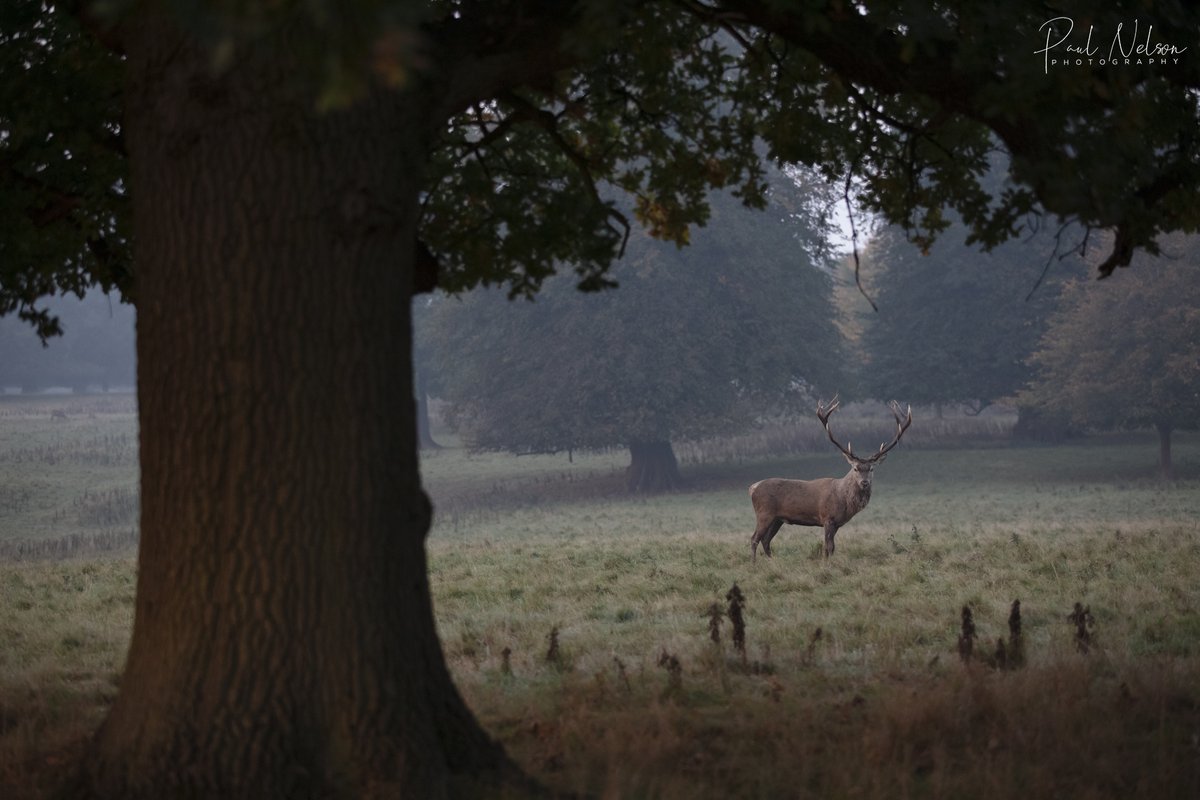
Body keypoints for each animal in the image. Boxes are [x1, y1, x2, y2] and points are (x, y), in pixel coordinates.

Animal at [749, 397, 912, 561]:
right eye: (855, 468)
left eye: (871, 469)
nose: (864, 482)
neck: (843, 500)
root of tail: (752, 488)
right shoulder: (827, 518)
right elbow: (827, 547)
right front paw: (825, 563)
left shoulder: (837, 524)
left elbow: (832, 548)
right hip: (764, 513)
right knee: (754, 538)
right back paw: (754, 563)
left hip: (777, 519)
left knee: (766, 540)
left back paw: (772, 561)